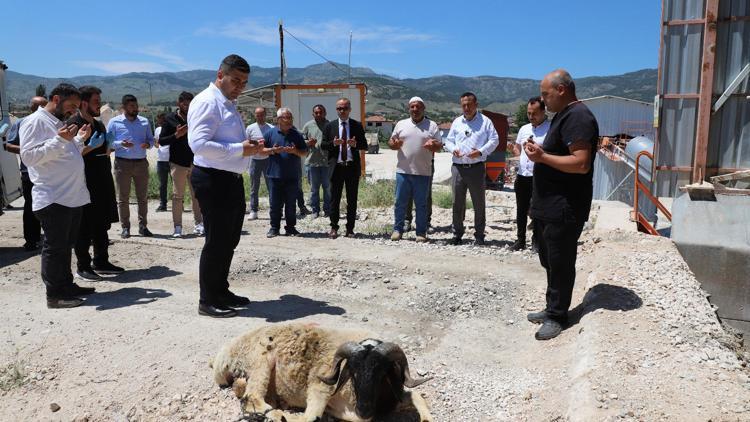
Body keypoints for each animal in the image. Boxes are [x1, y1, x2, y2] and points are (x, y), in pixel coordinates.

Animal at [212, 322, 434, 420]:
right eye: (352, 372)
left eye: (382, 374)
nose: (364, 409)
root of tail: (224, 355)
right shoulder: (319, 388)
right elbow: (311, 417)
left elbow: (416, 395)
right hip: (262, 361)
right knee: (251, 398)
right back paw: (276, 414)